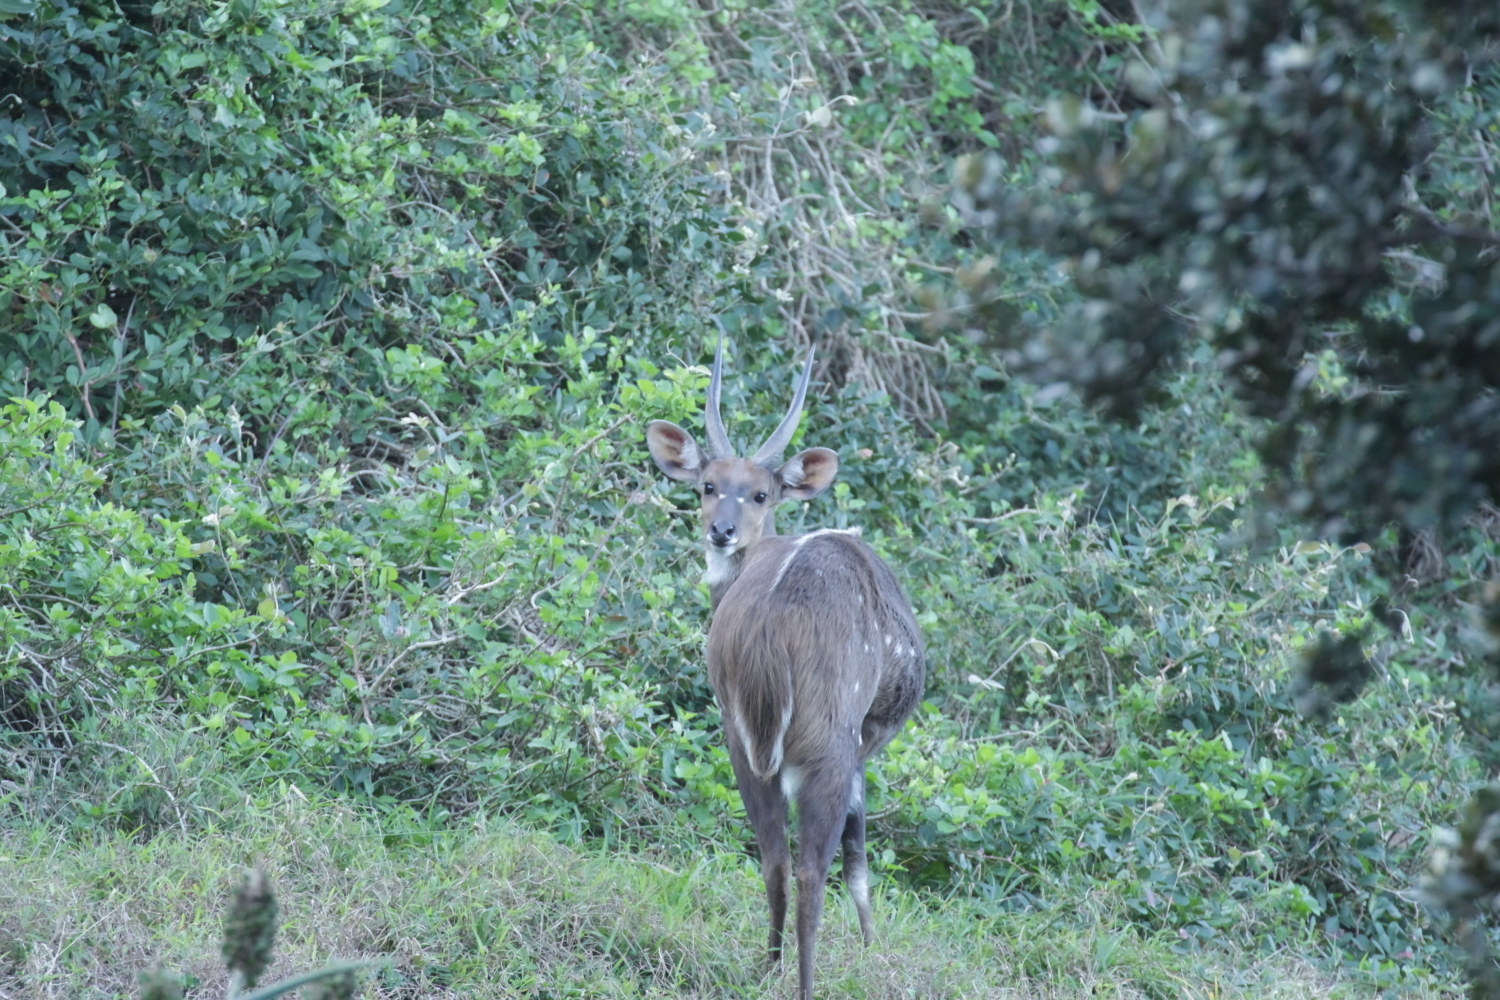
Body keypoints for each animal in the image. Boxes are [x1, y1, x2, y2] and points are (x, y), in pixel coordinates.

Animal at [648, 340, 924, 995]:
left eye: (759, 493)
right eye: (707, 485)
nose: (721, 532)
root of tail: (772, 634)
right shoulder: (864, 745)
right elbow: (858, 854)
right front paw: (873, 950)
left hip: (740, 742)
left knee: (772, 855)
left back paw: (765, 968)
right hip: (828, 740)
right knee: (810, 869)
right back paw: (803, 982)